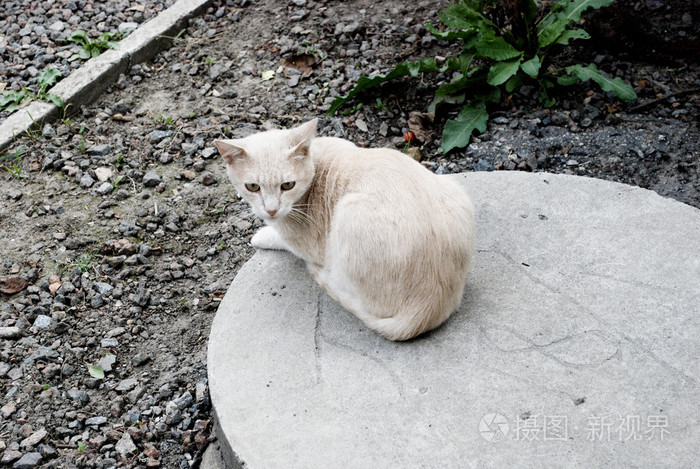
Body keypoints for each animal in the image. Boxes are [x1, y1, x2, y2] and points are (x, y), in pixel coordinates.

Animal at [213, 119, 476, 340]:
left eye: (287, 185)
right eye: (252, 187)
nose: (271, 210)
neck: (316, 159)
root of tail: (428, 306)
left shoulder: (306, 243)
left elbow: (281, 238)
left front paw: (262, 234)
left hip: (348, 214)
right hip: (454, 188)